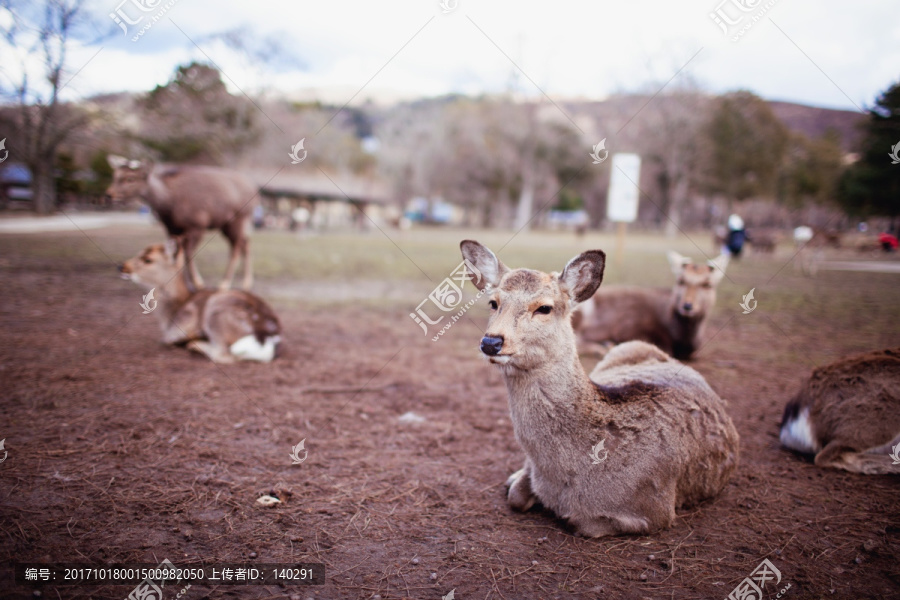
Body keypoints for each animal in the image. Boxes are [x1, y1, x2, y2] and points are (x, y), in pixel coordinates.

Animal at [107, 157, 260, 290]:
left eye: (130, 178)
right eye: (115, 176)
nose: (109, 194)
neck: (168, 205)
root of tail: (254, 190)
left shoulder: (197, 225)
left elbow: (188, 253)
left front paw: (198, 283)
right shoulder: (171, 228)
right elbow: (174, 253)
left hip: (238, 219)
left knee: (236, 247)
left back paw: (224, 283)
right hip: (229, 224)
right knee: (245, 243)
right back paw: (246, 282)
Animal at [119, 240, 280, 364]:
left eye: (148, 259)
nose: (121, 267)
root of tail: (269, 335)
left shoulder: (177, 329)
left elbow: (166, 340)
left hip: (215, 311)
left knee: (224, 356)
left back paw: (195, 344)